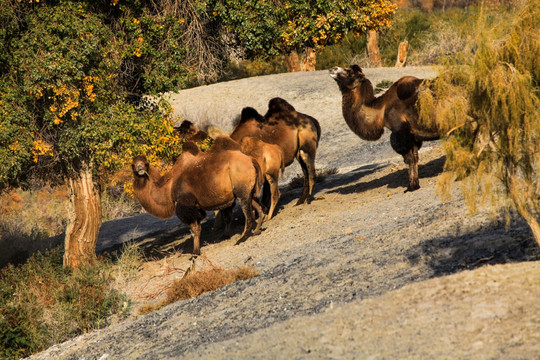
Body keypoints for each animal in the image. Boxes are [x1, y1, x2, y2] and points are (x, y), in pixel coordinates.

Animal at [132, 141, 264, 256]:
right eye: (133, 165)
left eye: (146, 163)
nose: (140, 168)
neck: (169, 186)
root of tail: (251, 160)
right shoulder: (197, 207)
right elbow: (204, 225)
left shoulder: (186, 205)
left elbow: (194, 229)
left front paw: (195, 252)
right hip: (248, 191)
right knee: (259, 208)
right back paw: (256, 231)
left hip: (242, 191)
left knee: (249, 216)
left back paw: (240, 239)